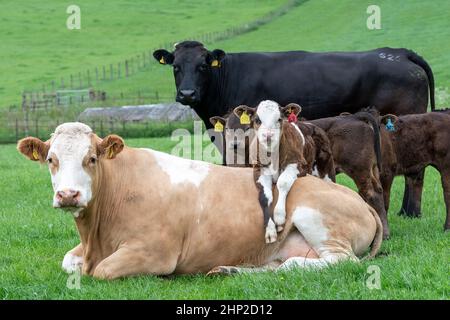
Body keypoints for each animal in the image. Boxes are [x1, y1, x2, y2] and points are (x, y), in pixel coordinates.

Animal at [18, 122, 384, 280]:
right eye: (50, 159)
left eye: (92, 158)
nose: (68, 195)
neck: (96, 234)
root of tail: (357, 199)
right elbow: (68, 261)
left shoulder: (154, 252)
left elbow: (102, 271)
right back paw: (228, 269)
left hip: (316, 217)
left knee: (339, 261)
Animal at [234, 100, 308, 242]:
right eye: (257, 120)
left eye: (279, 119)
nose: (268, 135)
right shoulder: (259, 170)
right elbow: (265, 196)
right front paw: (270, 229)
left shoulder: (296, 164)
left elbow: (283, 182)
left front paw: (279, 216)